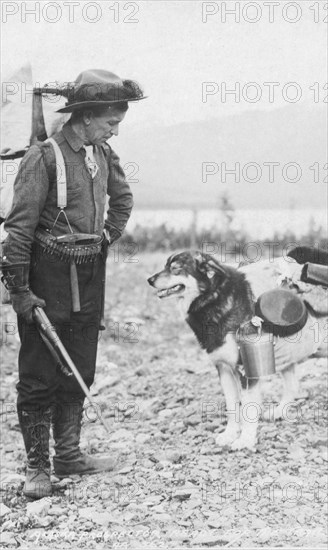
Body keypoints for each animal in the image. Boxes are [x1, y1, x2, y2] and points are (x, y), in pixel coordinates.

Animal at [149, 250, 328, 452]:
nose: (150, 280)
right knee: (292, 385)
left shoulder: (247, 370)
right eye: (165, 266)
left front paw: (245, 440)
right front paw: (230, 434)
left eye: (176, 268)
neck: (214, 298)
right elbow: (232, 406)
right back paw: (278, 412)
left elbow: (248, 408)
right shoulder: (224, 369)